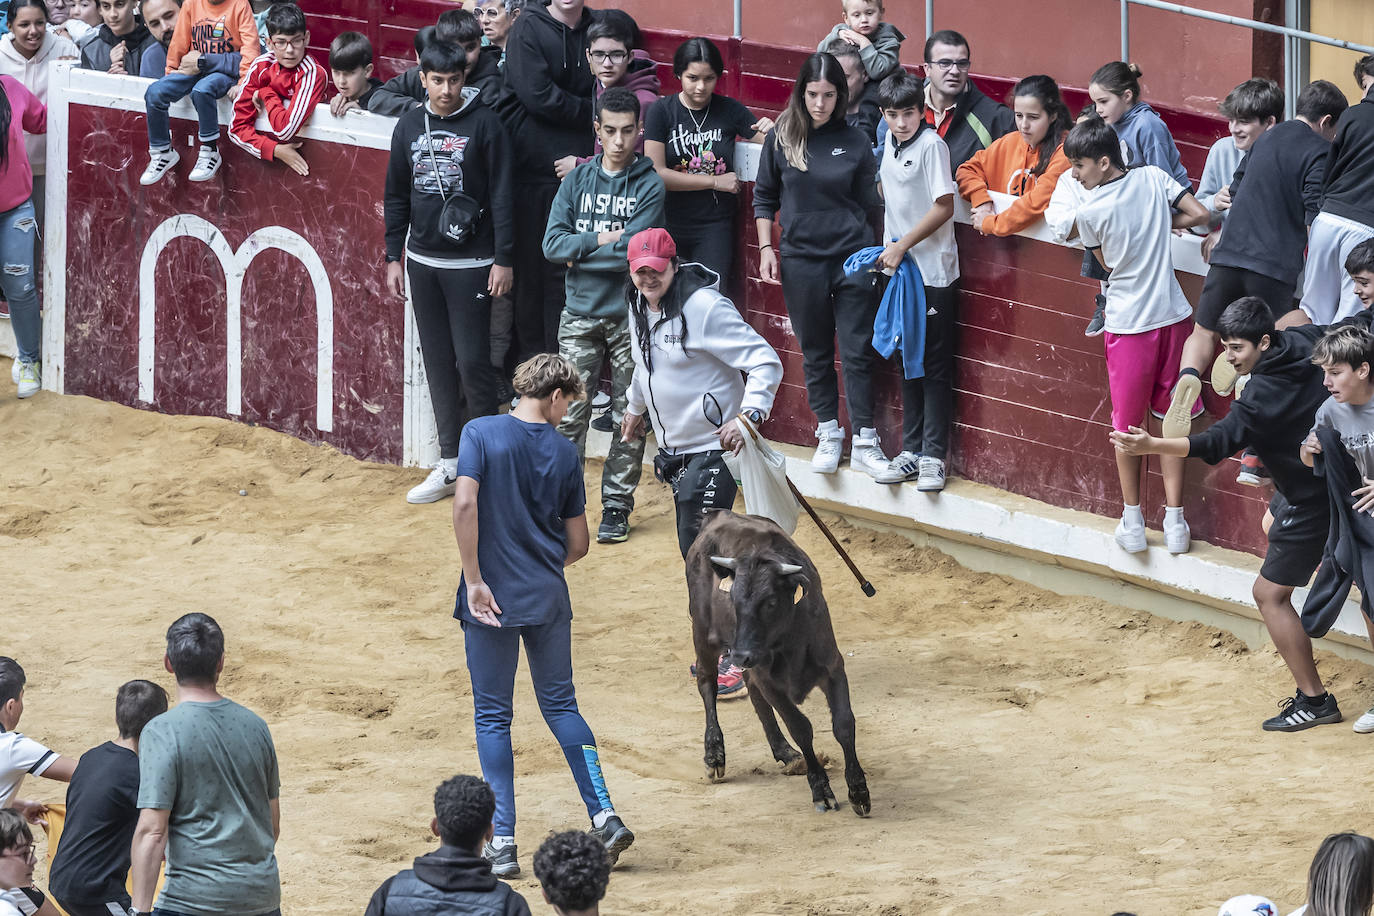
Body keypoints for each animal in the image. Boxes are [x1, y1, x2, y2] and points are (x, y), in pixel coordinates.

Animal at [684, 508, 868, 818]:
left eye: (770, 602)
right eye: (733, 600)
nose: (740, 655)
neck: (790, 639)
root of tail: (718, 514)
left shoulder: (833, 668)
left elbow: (844, 724)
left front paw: (858, 790)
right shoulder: (770, 681)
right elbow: (800, 727)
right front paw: (821, 790)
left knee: (751, 691)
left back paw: (785, 752)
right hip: (703, 634)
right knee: (707, 683)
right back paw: (714, 754)